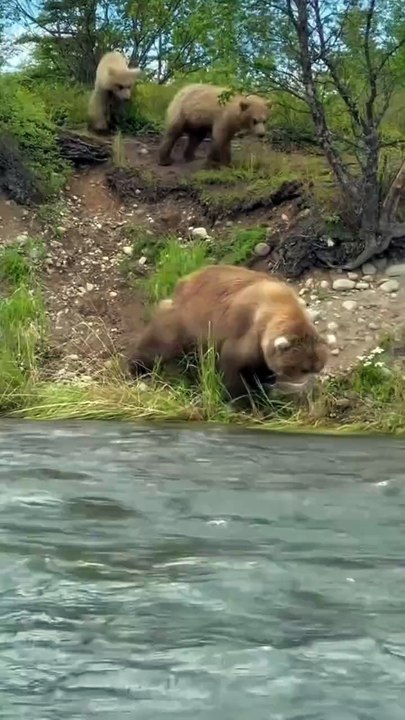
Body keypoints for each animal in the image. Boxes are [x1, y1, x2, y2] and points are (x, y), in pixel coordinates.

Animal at [128, 265, 328, 401]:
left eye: (317, 367)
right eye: (302, 368)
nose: (309, 387)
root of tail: (185, 280)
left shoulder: (261, 351)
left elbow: (260, 370)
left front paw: (261, 388)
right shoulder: (245, 332)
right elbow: (234, 368)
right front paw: (244, 400)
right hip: (186, 321)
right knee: (160, 343)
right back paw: (136, 367)